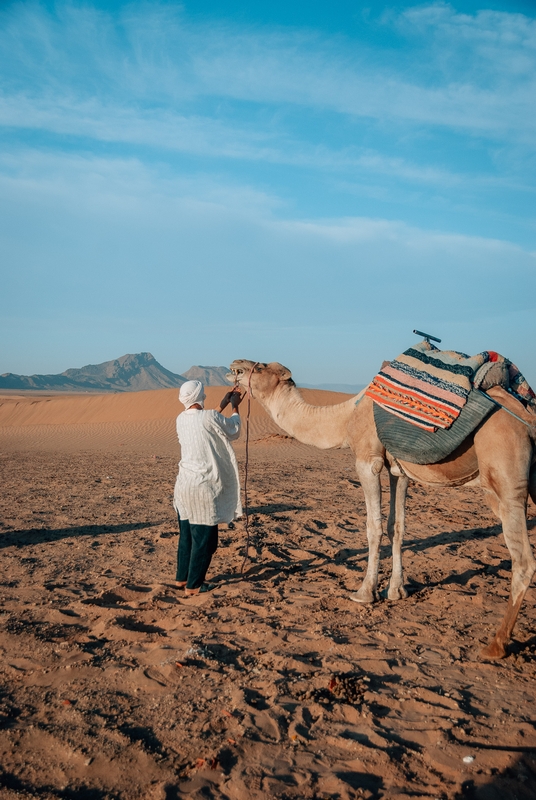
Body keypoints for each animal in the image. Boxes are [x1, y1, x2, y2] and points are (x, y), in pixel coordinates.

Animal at [229, 360, 536, 660]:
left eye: (261, 366)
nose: (235, 365)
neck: (346, 417)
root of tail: (529, 419)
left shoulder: (368, 461)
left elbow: (373, 527)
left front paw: (365, 592)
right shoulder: (399, 470)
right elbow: (396, 527)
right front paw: (396, 590)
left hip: (506, 478)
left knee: (523, 561)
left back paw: (496, 645)